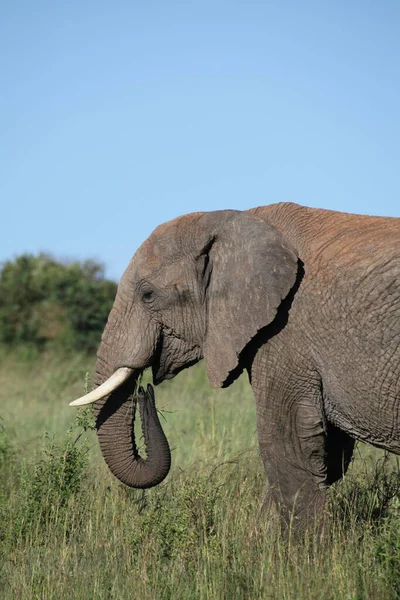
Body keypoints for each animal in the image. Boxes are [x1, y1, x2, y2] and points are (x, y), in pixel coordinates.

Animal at [70, 204, 400, 524]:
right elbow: (328, 455)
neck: (235, 221)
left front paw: (303, 545)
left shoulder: (285, 333)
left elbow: (287, 447)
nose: (144, 391)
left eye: (148, 295)